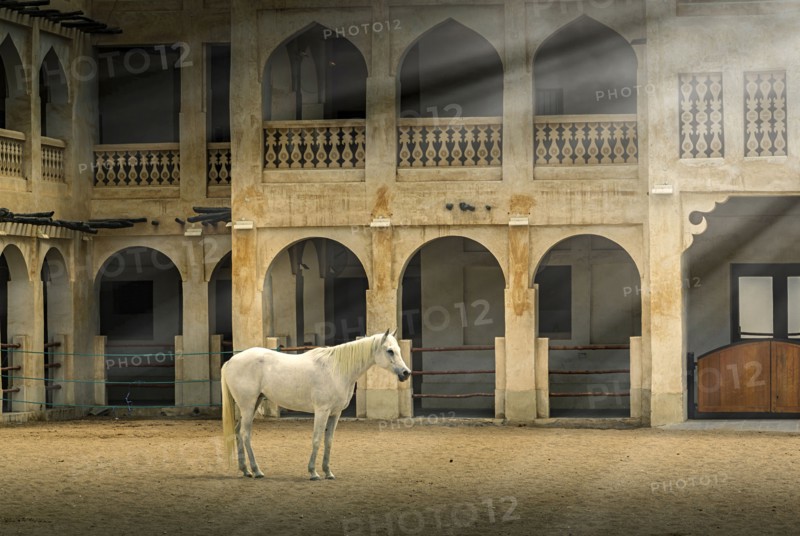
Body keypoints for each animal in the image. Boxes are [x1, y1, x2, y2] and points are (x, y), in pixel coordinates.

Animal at [220, 329, 411, 480]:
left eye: (398, 350)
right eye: (390, 351)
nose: (406, 373)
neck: (336, 370)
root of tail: (231, 361)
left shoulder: (335, 413)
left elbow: (329, 441)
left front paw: (328, 472)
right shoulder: (322, 411)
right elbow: (317, 439)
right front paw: (313, 472)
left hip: (253, 404)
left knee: (238, 432)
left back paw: (245, 470)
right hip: (248, 405)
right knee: (245, 434)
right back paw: (256, 470)